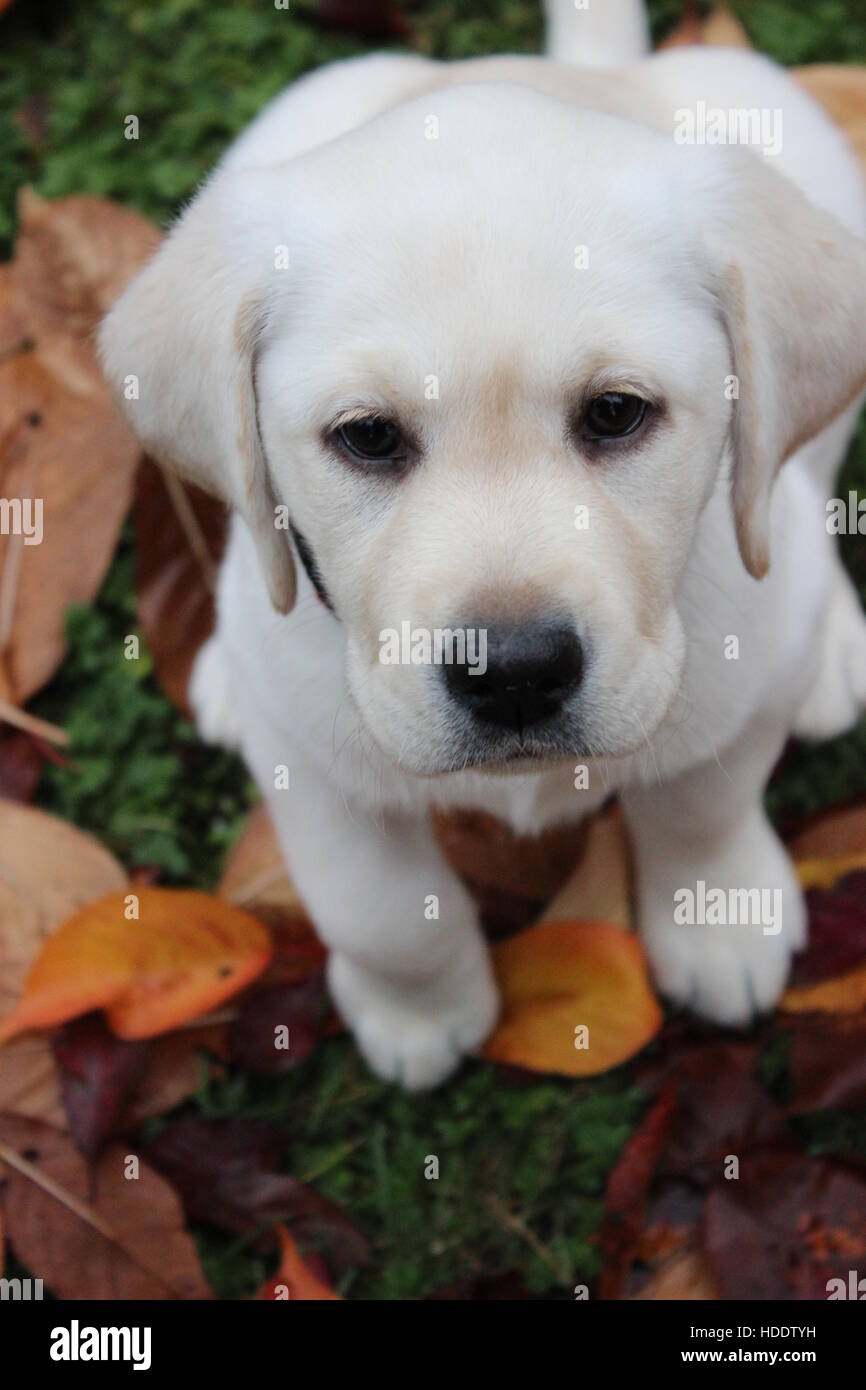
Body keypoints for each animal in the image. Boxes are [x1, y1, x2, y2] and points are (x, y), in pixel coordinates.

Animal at [97, 0, 866, 1084]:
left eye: (616, 413)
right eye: (368, 436)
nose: (513, 674)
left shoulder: (737, 686)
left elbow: (700, 806)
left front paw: (718, 926)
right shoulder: (310, 758)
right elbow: (379, 911)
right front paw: (420, 1012)